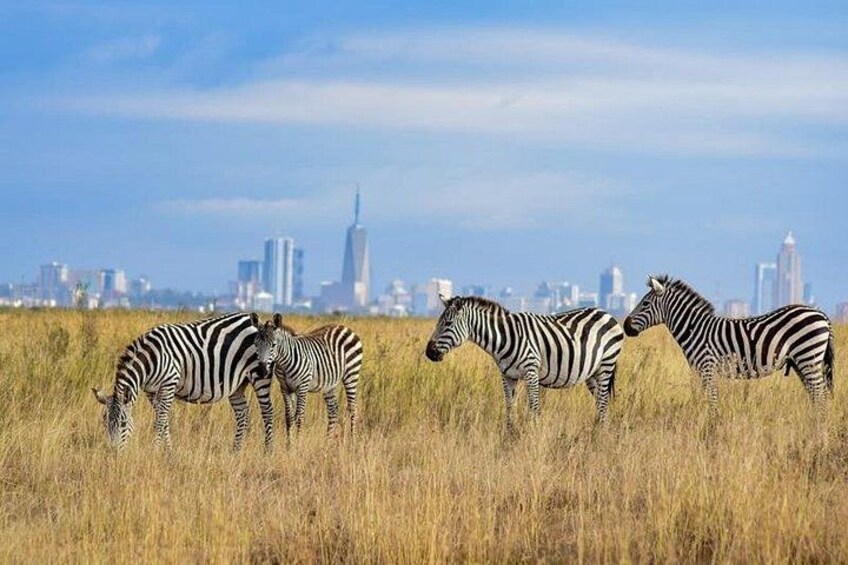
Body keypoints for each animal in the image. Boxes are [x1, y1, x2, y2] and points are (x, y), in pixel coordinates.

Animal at [92, 311, 274, 451]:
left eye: (123, 424)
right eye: (104, 423)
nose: (114, 453)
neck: (150, 359)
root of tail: (251, 320)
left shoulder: (169, 383)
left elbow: (160, 421)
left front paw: (155, 451)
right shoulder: (151, 391)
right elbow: (164, 421)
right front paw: (169, 453)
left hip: (260, 375)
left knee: (267, 412)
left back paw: (268, 452)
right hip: (237, 384)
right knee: (243, 414)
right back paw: (235, 451)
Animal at [425, 295, 625, 427]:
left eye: (448, 324)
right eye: (438, 322)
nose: (428, 353)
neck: (504, 338)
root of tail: (606, 313)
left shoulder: (531, 371)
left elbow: (534, 408)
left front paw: (533, 435)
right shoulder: (507, 376)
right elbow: (509, 407)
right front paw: (509, 435)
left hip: (606, 365)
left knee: (603, 402)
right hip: (592, 373)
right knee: (600, 403)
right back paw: (597, 431)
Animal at [623, 275, 835, 412]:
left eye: (645, 304)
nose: (625, 326)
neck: (695, 329)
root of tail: (822, 315)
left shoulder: (706, 368)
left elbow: (712, 401)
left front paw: (713, 428)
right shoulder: (702, 371)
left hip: (808, 357)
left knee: (820, 395)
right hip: (802, 362)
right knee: (816, 395)